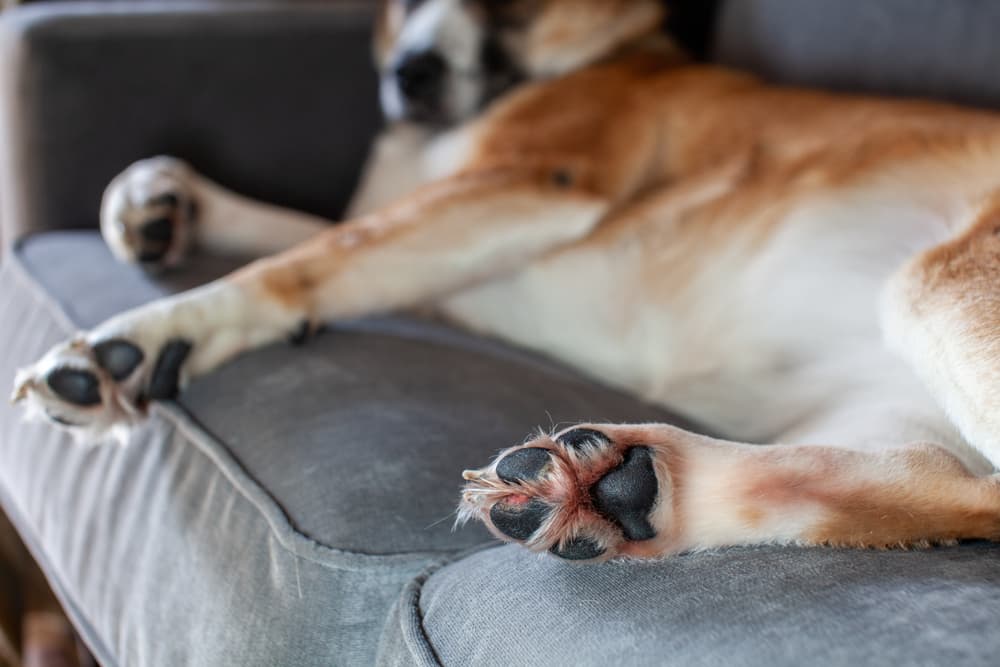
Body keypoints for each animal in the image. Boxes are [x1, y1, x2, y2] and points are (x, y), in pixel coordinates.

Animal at [9, 0, 1000, 564]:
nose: (408, 74)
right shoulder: (443, 251)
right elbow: (324, 234)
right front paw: (159, 201)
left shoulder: (532, 184)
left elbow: (315, 255)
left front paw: (137, 337)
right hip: (886, 400)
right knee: (941, 480)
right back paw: (618, 490)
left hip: (939, 282)